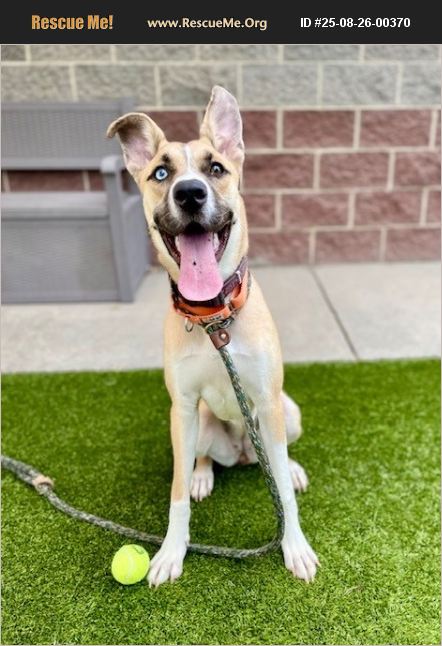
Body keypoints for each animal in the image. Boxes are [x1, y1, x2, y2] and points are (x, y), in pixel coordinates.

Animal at [108, 86, 319, 587]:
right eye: (161, 173)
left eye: (216, 168)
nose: (189, 192)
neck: (214, 317)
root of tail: (243, 453)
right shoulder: (182, 406)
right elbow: (177, 491)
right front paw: (170, 551)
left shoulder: (268, 400)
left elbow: (283, 493)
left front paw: (295, 545)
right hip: (200, 424)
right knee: (200, 459)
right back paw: (205, 474)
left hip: (286, 411)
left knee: (279, 457)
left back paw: (291, 467)